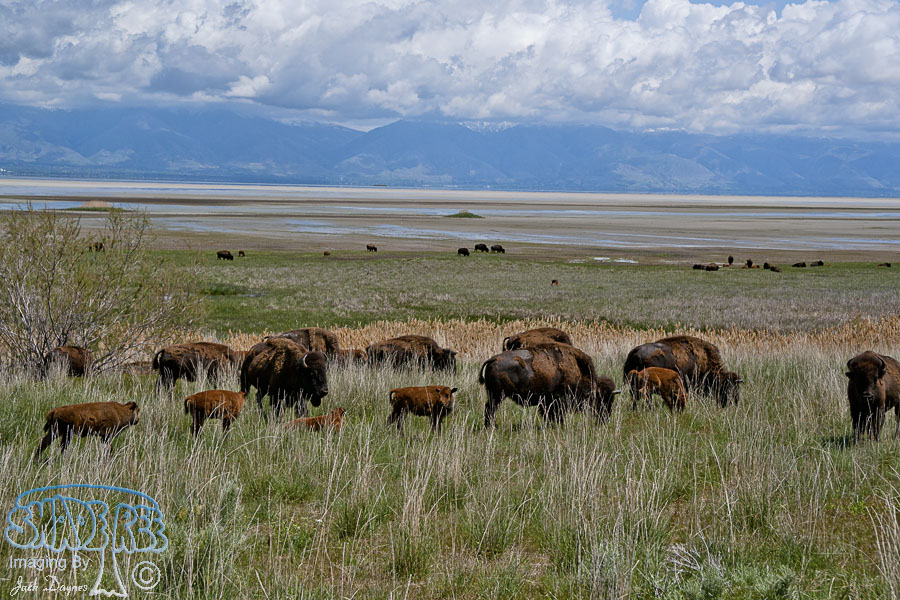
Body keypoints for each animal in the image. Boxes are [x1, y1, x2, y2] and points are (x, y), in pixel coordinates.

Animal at [479, 342, 619, 427]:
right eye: (602, 398)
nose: (605, 419)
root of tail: (493, 359)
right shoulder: (559, 399)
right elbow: (557, 413)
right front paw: (560, 425)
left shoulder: (547, 401)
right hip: (497, 396)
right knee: (490, 409)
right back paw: (490, 426)